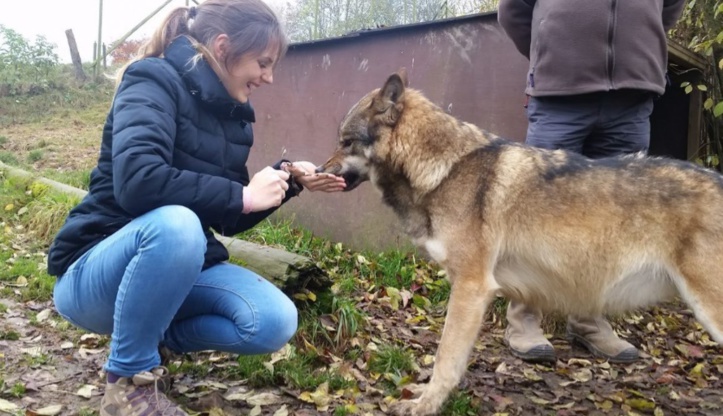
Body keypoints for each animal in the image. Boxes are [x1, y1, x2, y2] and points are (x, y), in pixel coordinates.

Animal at [316, 69, 723, 415]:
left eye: (346, 142)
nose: (318, 171)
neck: (444, 169)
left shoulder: (472, 286)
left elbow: (446, 357)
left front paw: (425, 405)